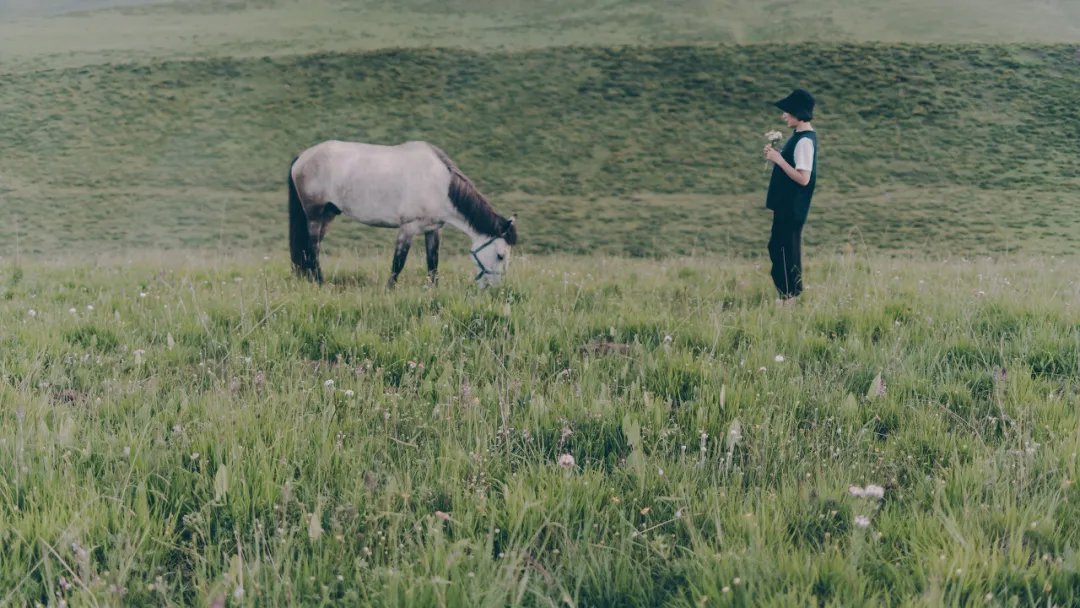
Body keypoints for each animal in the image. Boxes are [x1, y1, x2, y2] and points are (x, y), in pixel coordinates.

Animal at [289, 139, 516, 289]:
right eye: (500, 255)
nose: (496, 290)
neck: (439, 184)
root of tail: (302, 157)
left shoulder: (434, 230)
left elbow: (433, 262)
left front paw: (433, 290)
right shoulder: (408, 227)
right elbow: (398, 262)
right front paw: (389, 290)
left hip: (328, 214)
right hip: (315, 214)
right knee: (312, 248)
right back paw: (319, 282)